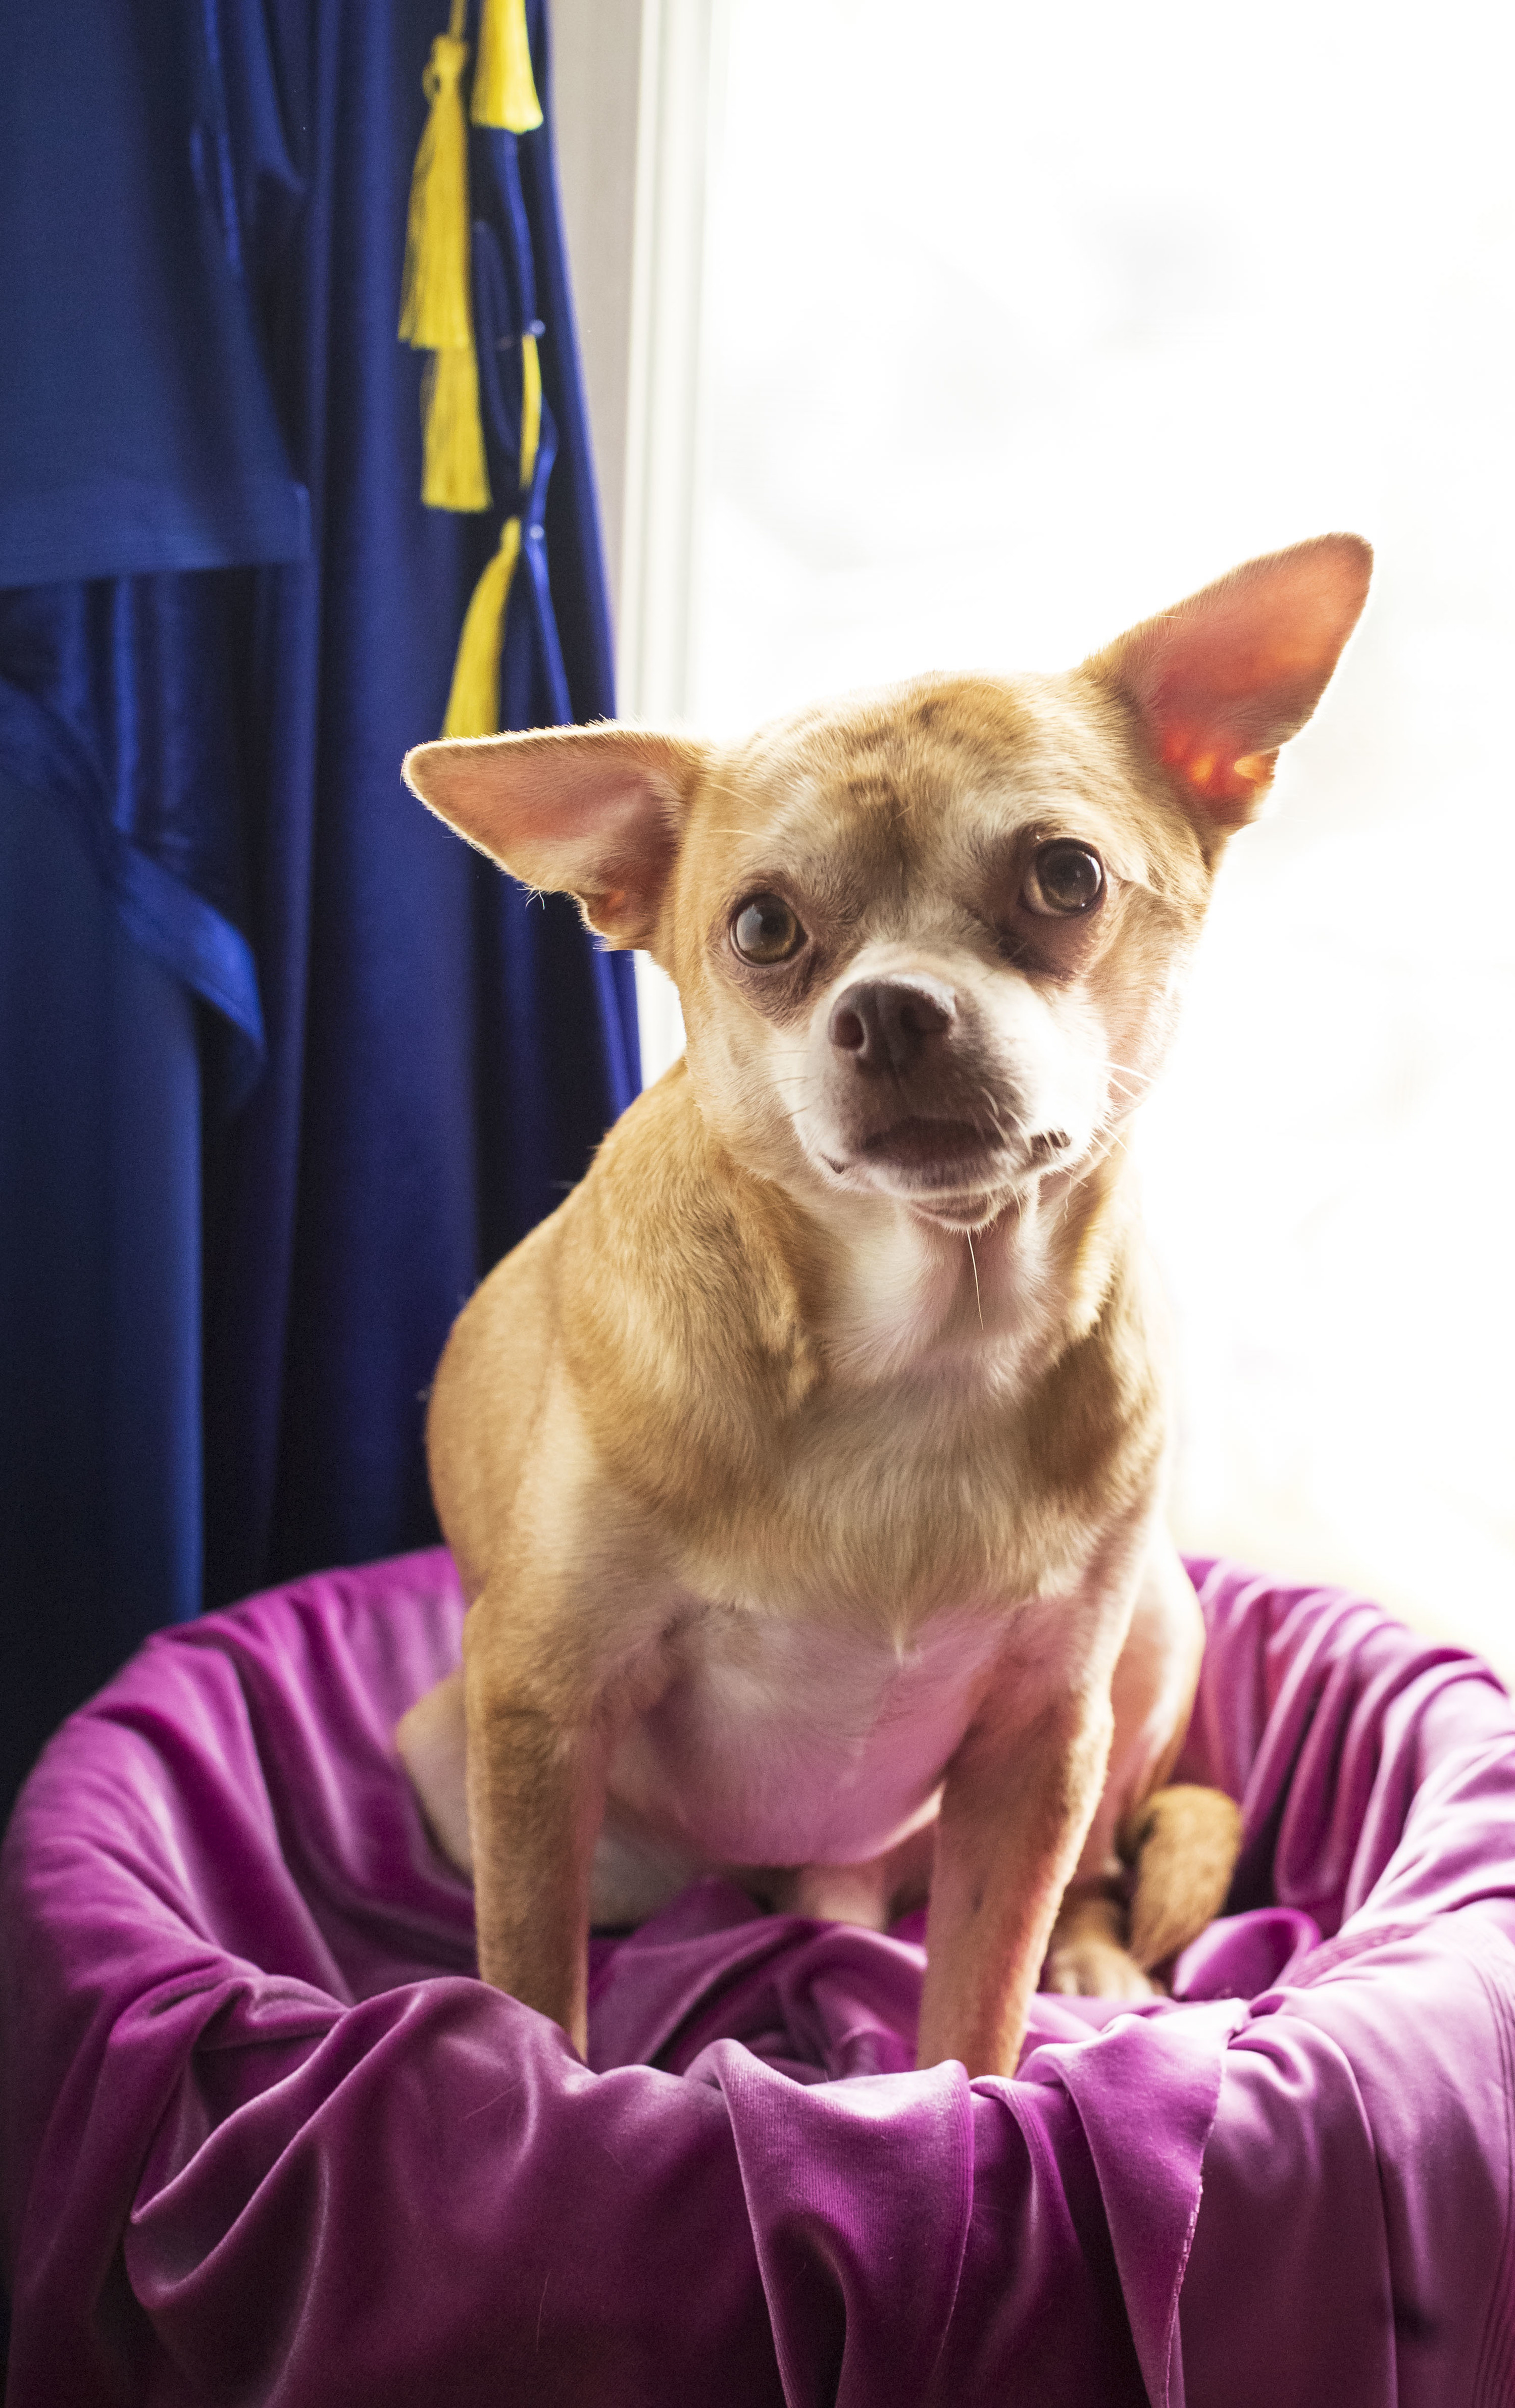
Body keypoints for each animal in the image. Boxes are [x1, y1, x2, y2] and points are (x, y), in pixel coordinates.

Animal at [395, 537, 1368, 2080]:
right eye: (762, 927)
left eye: (1066, 876)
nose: (894, 1008)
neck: (927, 1347)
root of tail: (823, 1884)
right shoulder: (538, 1704)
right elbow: (531, 1989)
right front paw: (541, 2086)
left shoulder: (1042, 1739)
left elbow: (978, 1992)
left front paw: (968, 2091)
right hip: (463, 1759)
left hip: (1147, 1647)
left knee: (1082, 1881)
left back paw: (1089, 1958)